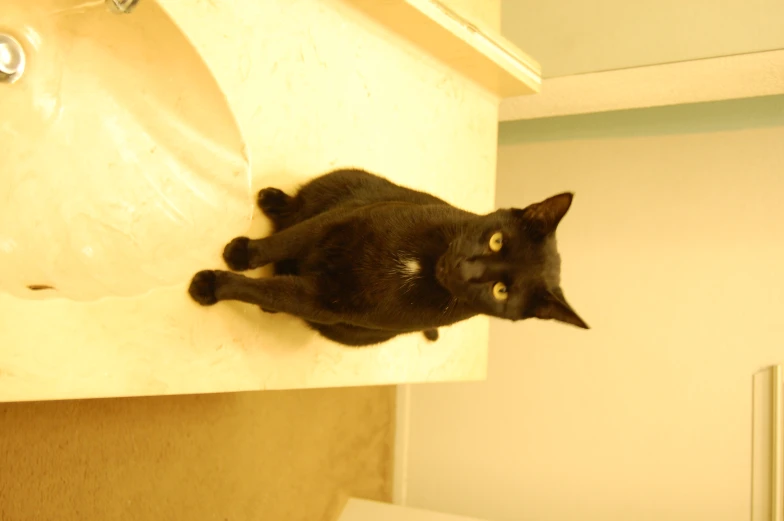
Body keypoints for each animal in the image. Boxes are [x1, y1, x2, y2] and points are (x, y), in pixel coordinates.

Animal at [187, 168, 584, 346]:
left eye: (501, 291)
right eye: (497, 241)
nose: (464, 267)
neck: (423, 264)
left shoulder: (326, 302)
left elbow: (269, 292)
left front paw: (212, 286)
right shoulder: (337, 222)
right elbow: (285, 240)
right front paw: (242, 253)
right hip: (348, 182)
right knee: (299, 210)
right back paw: (274, 200)